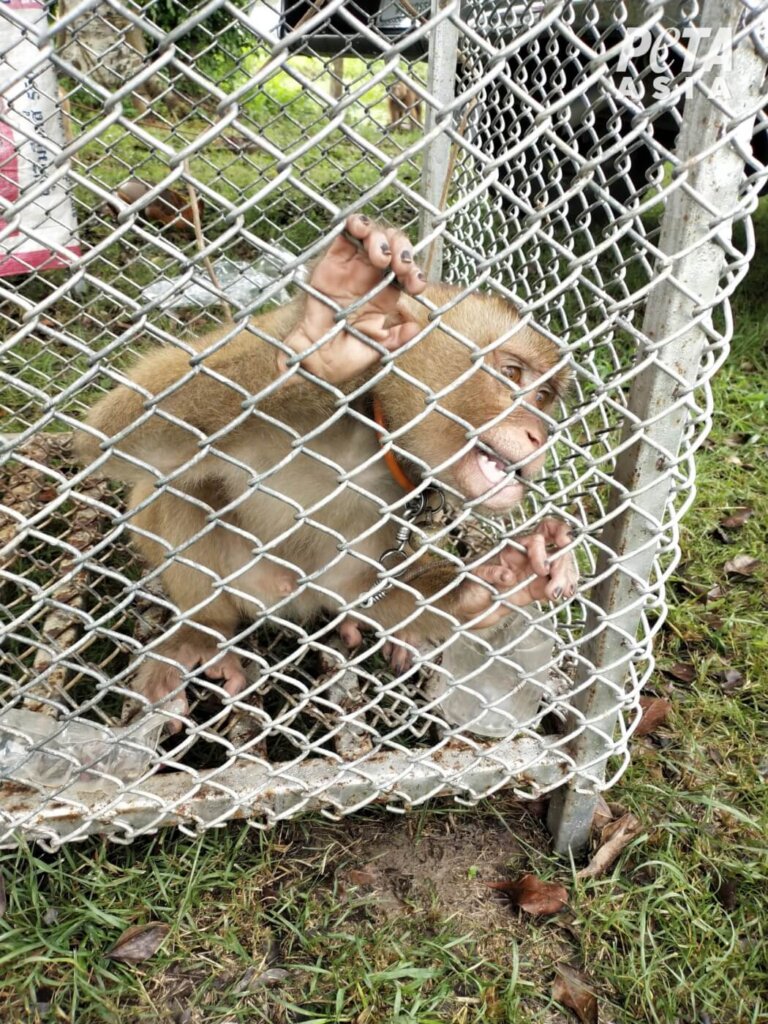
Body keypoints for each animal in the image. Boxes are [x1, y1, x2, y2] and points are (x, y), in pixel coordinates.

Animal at [76, 216, 577, 729]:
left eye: (543, 397)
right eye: (512, 373)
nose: (540, 434)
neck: (373, 435)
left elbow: (353, 588)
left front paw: (504, 575)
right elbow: (110, 436)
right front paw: (322, 336)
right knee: (172, 487)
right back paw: (205, 630)